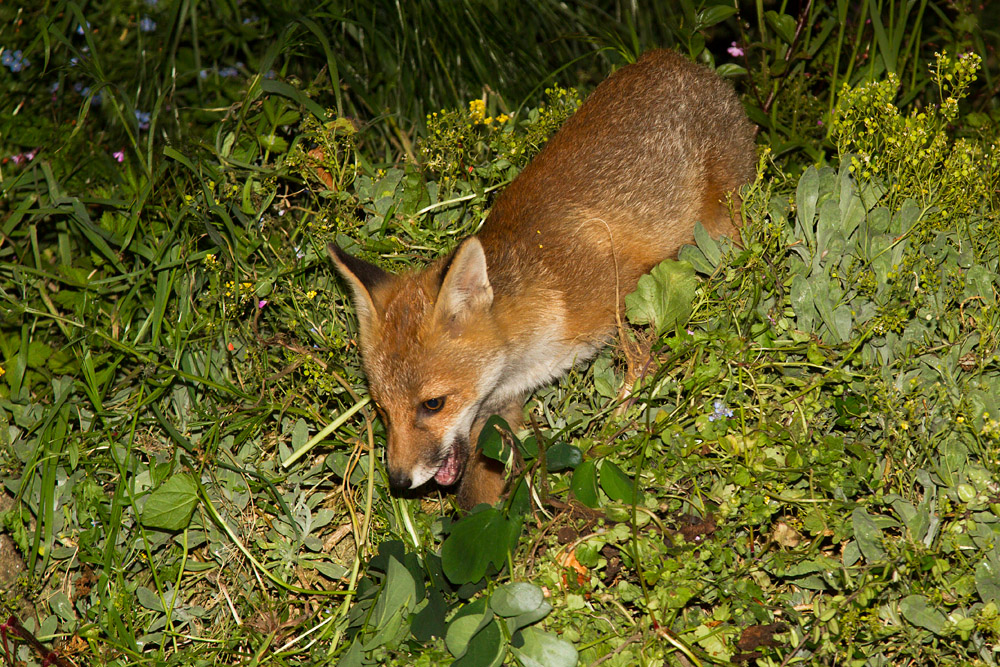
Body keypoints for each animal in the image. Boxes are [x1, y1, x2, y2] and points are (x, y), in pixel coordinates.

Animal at [330, 49, 756, 509]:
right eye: (381, 408)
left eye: (433, 404)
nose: (398, 481)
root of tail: (674, 59)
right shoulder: (498, 409)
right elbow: (480, 497)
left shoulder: (631, 296)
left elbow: (636, 376)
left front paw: (612, 440)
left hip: (722, 224)